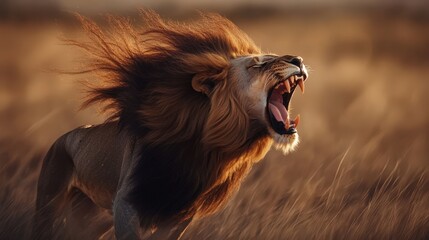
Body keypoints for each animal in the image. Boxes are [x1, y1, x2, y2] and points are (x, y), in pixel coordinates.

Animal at [33, 10, 308, 240]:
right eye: (257, 64)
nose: (298, 59)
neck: (204, 150)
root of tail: (63, 137)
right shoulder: (126, 202)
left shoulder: (181, 213)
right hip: (49, 202)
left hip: (92, 218)